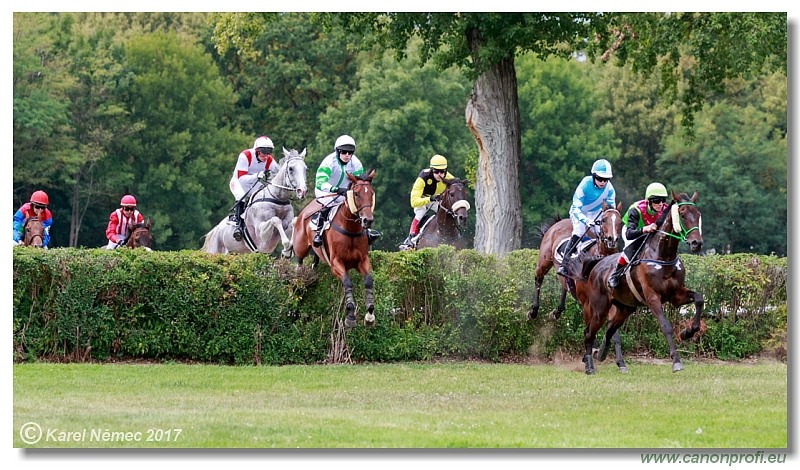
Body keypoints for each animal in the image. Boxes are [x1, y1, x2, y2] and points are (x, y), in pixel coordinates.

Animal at [292, 171, 376, 328]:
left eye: (371, 193)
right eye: (356, 193)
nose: (367, 220)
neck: (350, 229)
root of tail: (304, 210)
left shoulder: (362, 260)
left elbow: (368, 280)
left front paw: (369, 316)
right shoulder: (336, 263)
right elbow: (347, 282)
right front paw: (350, 316)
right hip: (300, 250)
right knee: (298, 270)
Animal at [576, 191, 708, 374]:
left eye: (698, 214)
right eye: (682, 214)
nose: (697, 243)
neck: (663, 257)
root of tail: (597, 264)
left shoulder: (676, 294)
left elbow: (699, 299)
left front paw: (687, 332)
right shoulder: (652, 297)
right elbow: (666, 326)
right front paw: (676, 362)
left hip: (624, 308)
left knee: (609, 330)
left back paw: (602, 354)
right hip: (598, 308)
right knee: (589, 333)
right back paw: (589, 365)